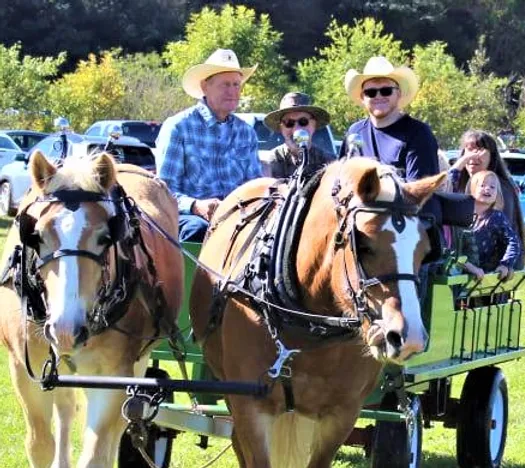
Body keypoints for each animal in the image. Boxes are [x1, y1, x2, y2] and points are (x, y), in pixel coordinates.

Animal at [0, 152, 182, 466]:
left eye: (104, 238)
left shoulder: (113, 374)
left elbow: (96, 452)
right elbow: (40, 444)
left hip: (138, 361)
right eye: (37, 235)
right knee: (65, 408)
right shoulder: (25, 369)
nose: (65, 330)